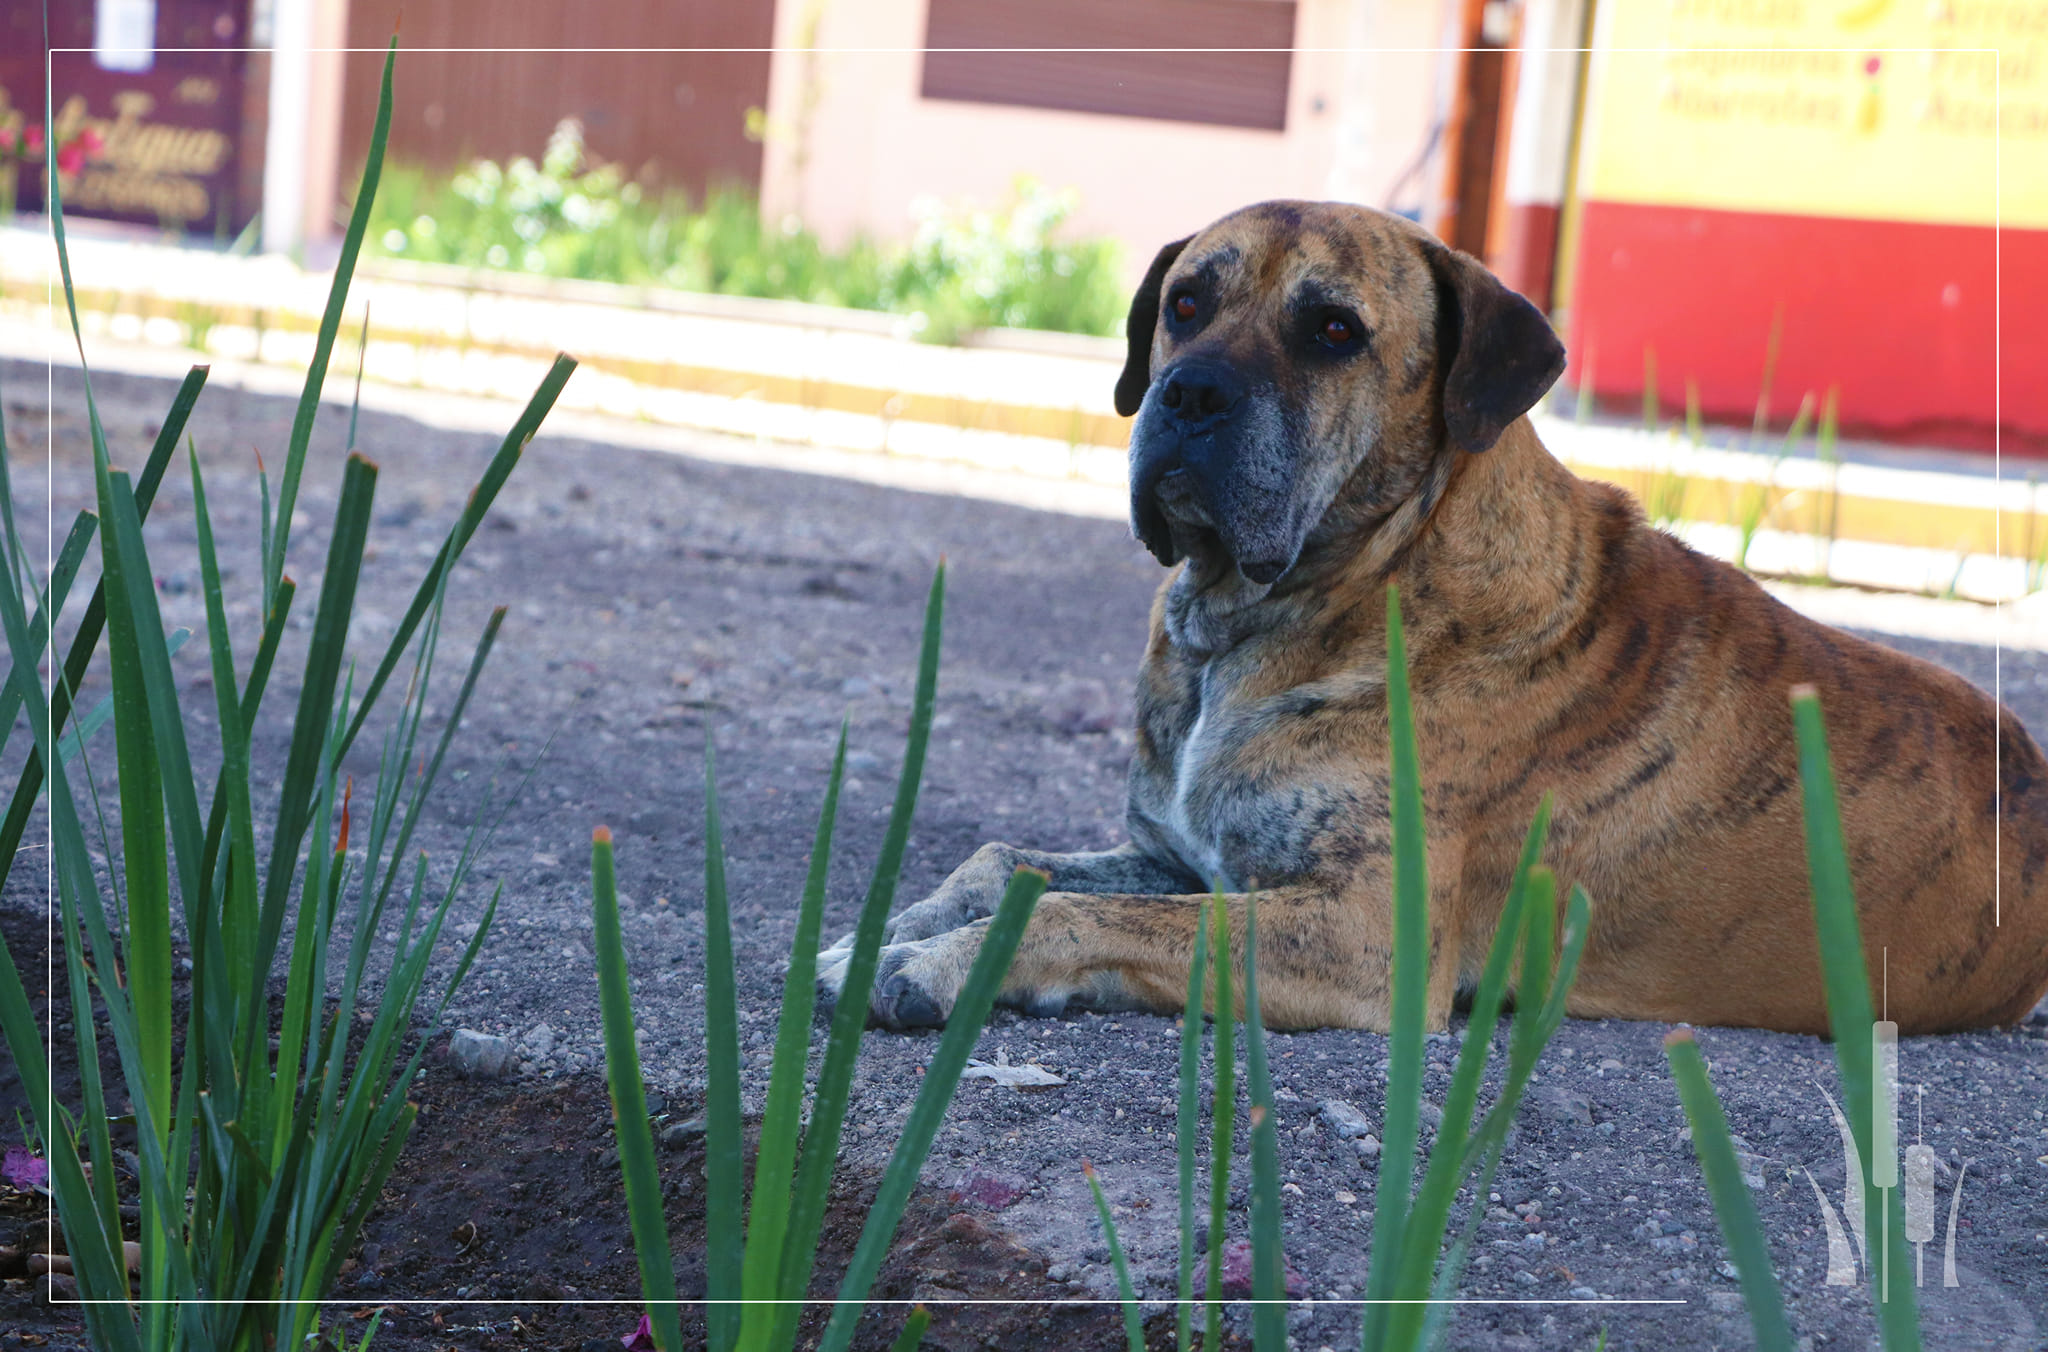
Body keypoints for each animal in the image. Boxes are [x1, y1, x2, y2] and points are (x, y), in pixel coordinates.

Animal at [815, 197, 2048, 1036]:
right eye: (1183, 305)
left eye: (1332, 330)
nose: (1188, 394)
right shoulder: (1187, 857)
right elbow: (1006, 860)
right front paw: (895, 925)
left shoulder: (1361, 930)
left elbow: (1075, 913)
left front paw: (936, 966)